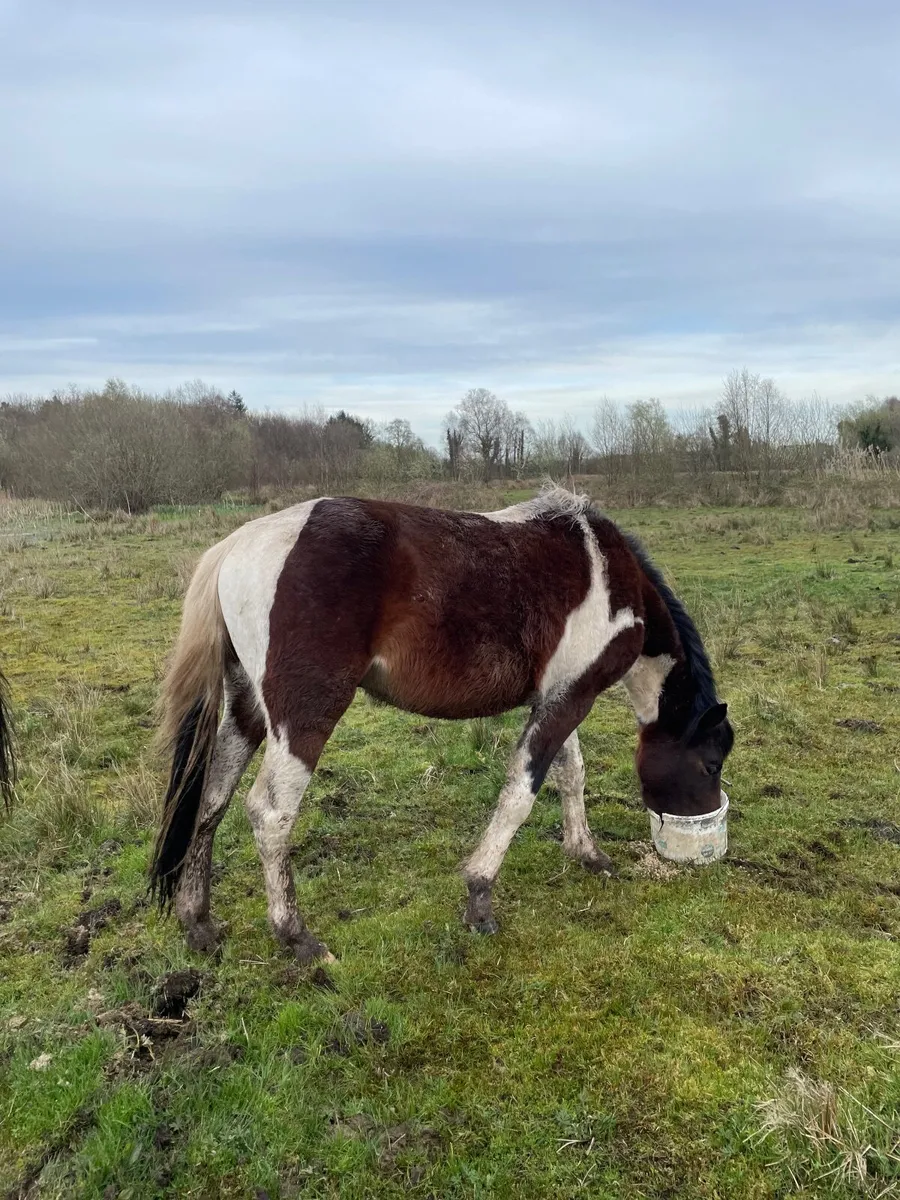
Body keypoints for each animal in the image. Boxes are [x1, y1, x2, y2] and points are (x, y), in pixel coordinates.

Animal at [150, 488, 734, 963]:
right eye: (710, 764)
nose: (704, 823)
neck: (614, 577)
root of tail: (236, 546)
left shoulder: (562, 696)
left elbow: (571, 775)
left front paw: (586, 853)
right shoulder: (569, 699)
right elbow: (521, 793)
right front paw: (479, 897)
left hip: (247, 708)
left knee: (212, 797)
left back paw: (197, 922)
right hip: (305, 717)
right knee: (270, 813)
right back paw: (298, 939)